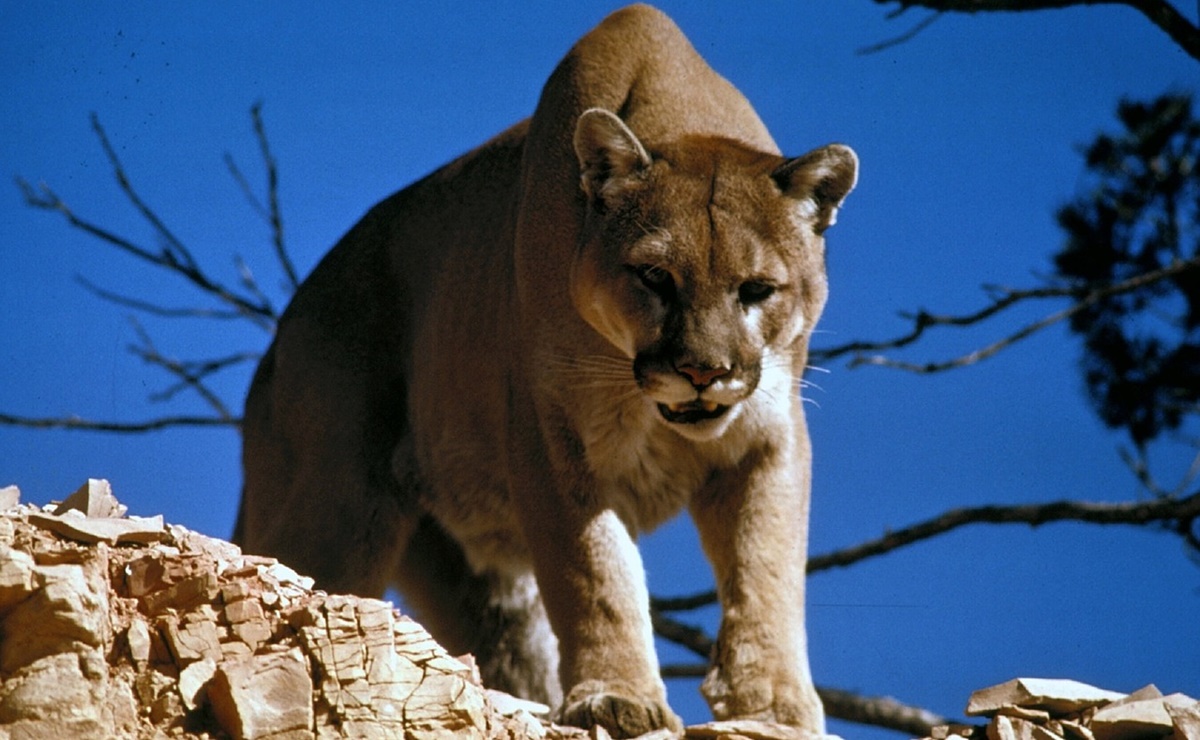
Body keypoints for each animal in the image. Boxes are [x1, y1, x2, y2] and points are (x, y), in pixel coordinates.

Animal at [236, 5, 854, 738]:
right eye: (655, 277)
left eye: (758, 290)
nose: (704, 372)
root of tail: (280, 338)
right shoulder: (551, 437)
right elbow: (595, 572)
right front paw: (619, 697)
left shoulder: (768, 436)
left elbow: (767, 569)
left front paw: (774, 704)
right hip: (337, 504)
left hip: (474, 576)